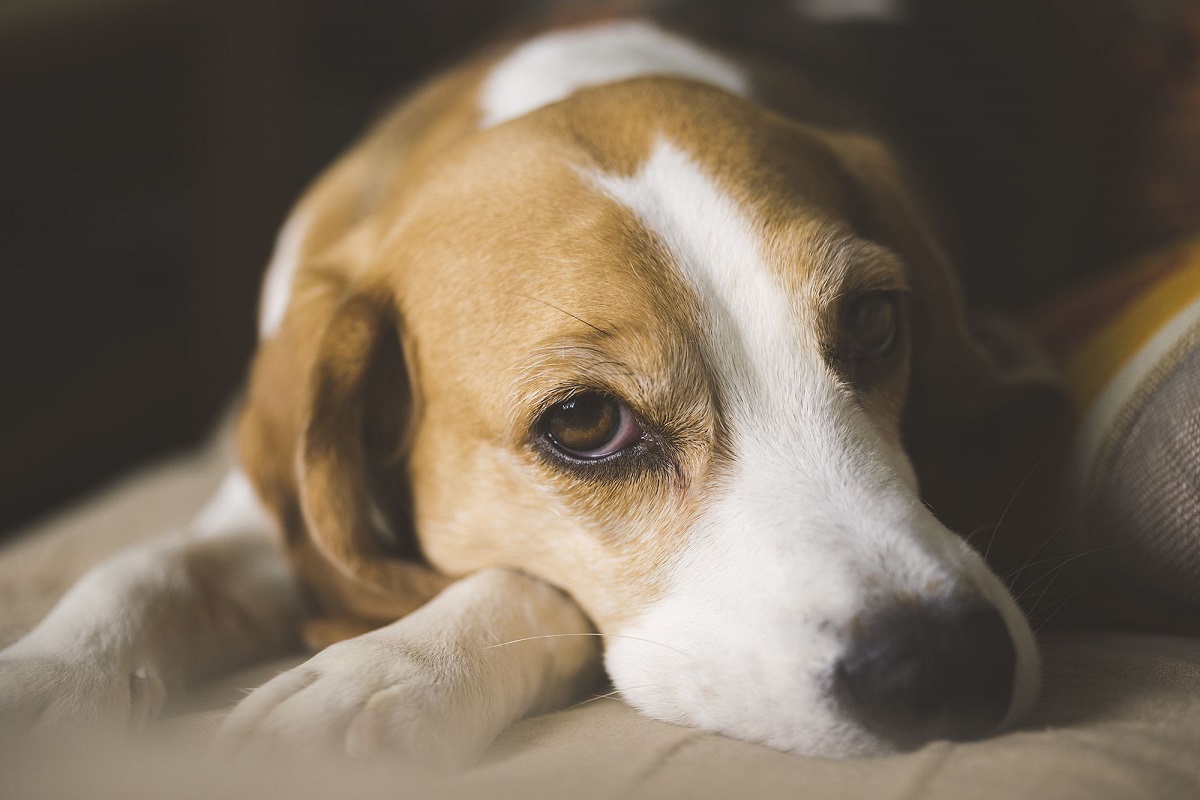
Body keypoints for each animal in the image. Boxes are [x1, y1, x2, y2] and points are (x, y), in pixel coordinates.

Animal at [0, 9, 1060, 767]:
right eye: (585, 422)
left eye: (874, 322)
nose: (946, 666)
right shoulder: (264, 516)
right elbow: (140, 570)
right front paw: (40, 685)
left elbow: (522, 583)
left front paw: (378, 677)